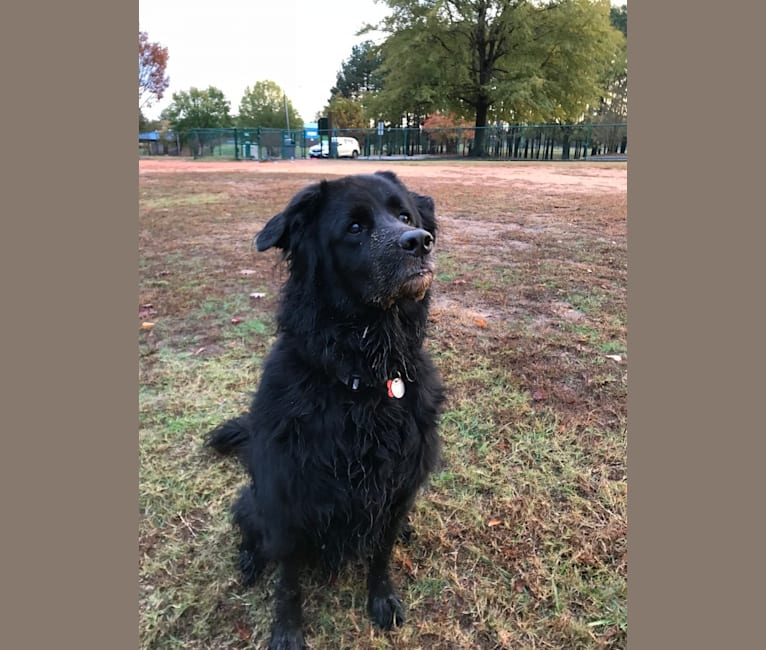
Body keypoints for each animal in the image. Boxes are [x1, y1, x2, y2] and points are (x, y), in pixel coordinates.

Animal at [207, 170, 448, 644]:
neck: (361, 378)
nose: (421, 241)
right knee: (249, 530)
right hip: (253, 500)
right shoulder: (286, 501)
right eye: (354, 228)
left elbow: (381, 554)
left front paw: (382, 598)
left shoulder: (396, 491)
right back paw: (249, 561)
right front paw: (286, 631)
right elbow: (288, 580)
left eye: (405, 216)